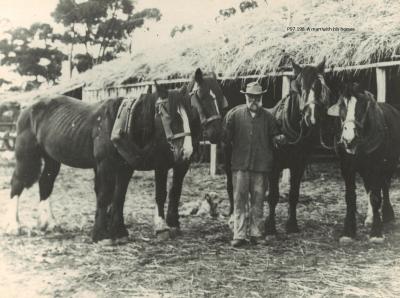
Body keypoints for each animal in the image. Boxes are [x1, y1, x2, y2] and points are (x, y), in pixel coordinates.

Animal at [3, 83, 197, 242]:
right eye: (171, 116)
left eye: (188, 116)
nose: (187, 151)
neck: (122, 123)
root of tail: (27, 109)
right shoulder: (105, 165)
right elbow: (104, 195)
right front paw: (100, 235)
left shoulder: (125, 168)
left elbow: (119, 196)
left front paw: (119, 232)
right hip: (26, 155)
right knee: (17, 182)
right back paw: (14, 225)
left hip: (52, 158)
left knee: (45, 183)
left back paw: (48, 223)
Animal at [326, 82, 398, 243]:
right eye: (342, 106)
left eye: (363, 106)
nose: (348, 138)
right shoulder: (346, 166)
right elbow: (350, 197)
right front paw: (348, 231)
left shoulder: (377, 165)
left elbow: (376, 196)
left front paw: (376, 232)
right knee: (369, 187)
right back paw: (370, 217)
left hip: (389, 164)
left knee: (384, 186)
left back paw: (387, 214)